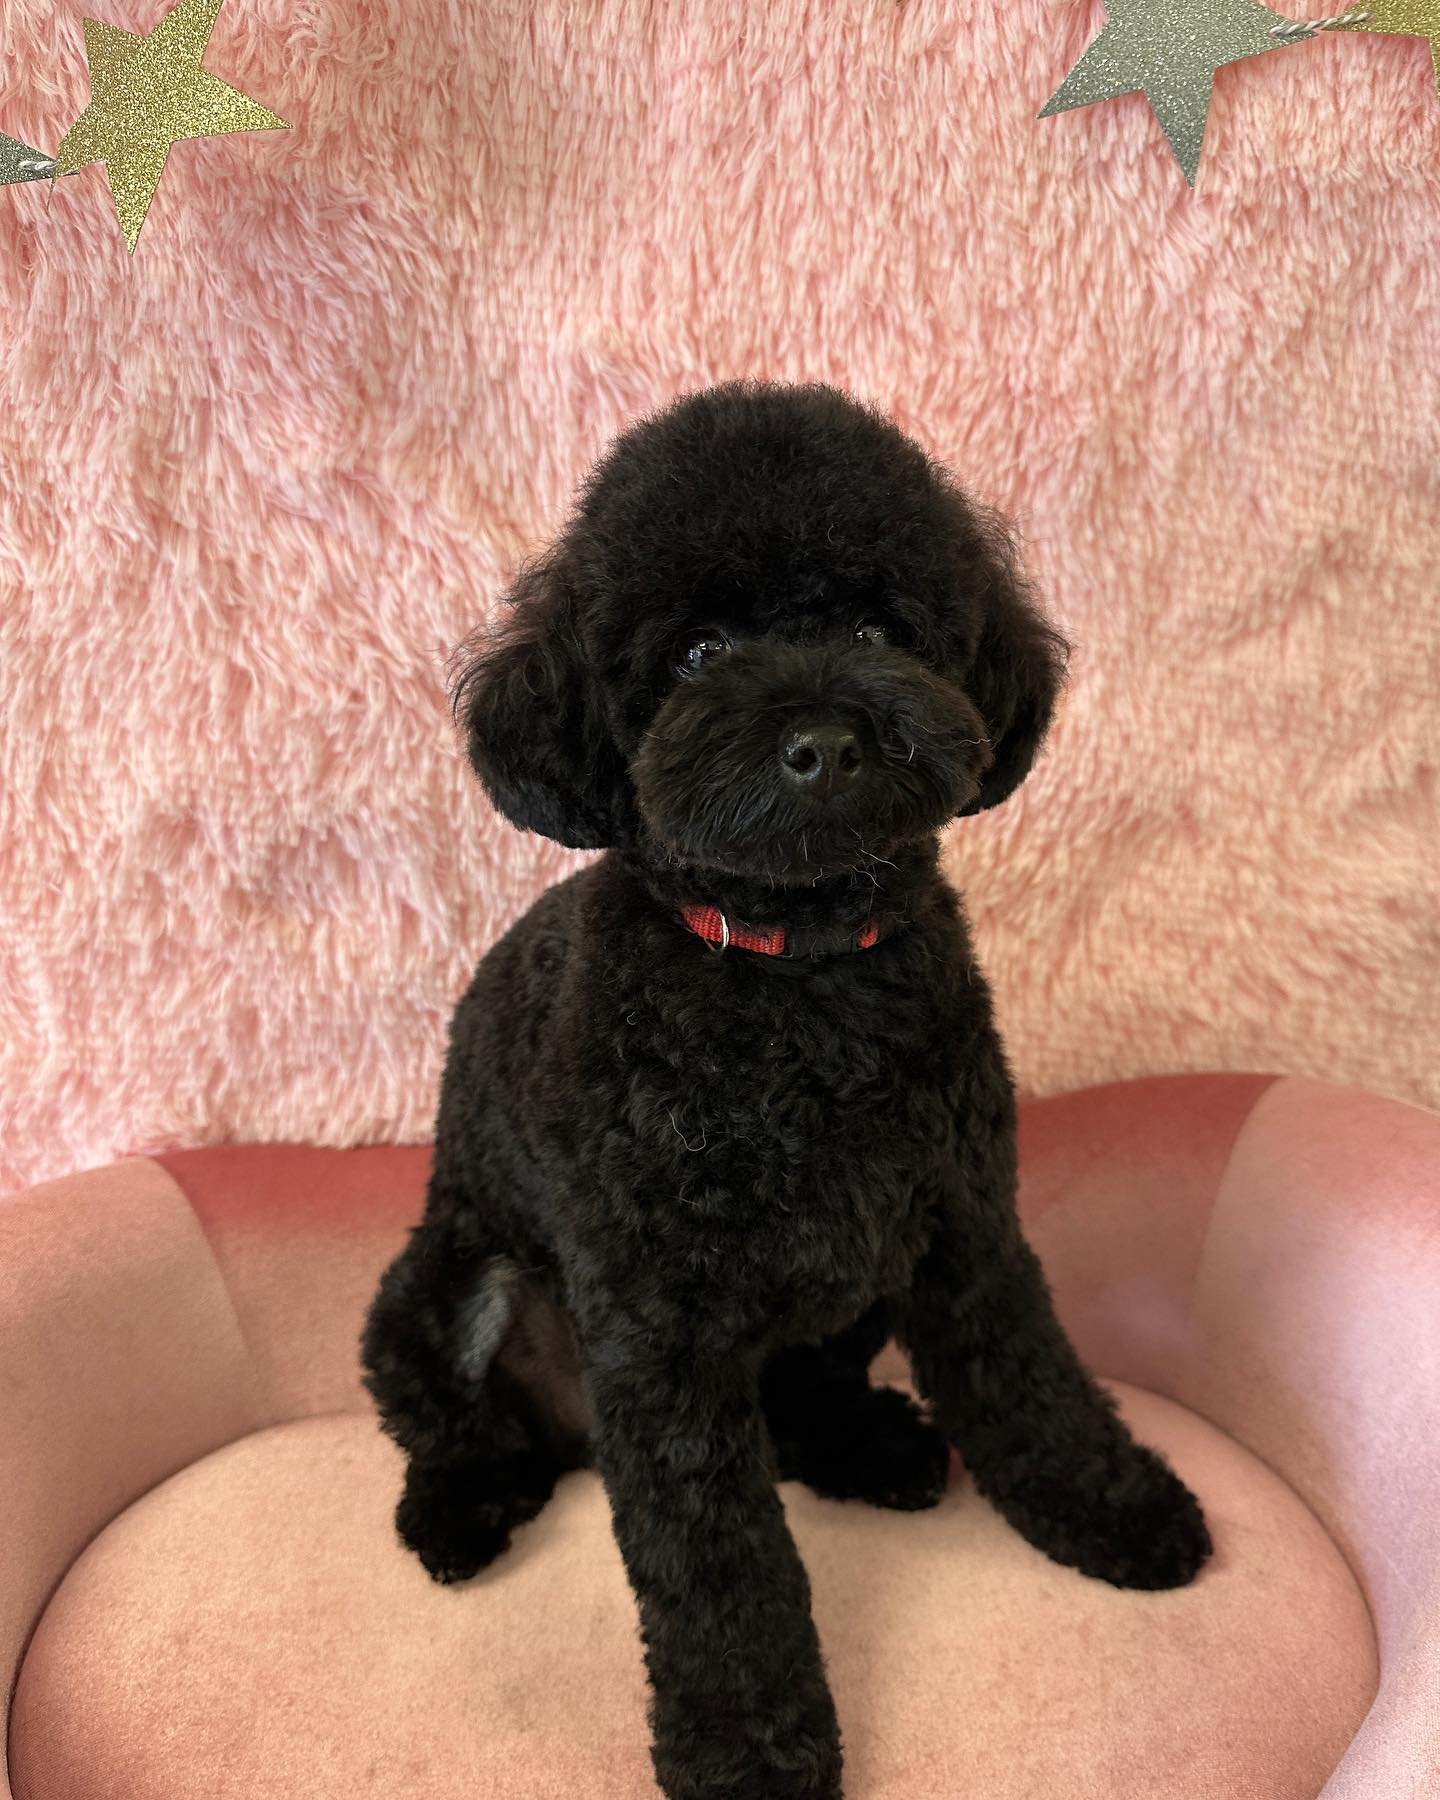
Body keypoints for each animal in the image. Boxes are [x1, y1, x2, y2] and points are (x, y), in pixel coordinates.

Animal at [356, 379, 1202, 1800]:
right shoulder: (661, 1337)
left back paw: (879, 1448)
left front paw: (1119, 1510)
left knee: (805, 1399)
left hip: (848, 1294)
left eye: (876, 626)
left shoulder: (963, 1226)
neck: (798, 980)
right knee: (460, 1430)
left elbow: (1031, 1380)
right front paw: (751, 1750)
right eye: (697, 653)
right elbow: (718, 1567)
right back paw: (460, 1514)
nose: (826, 741)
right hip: (444, 1288)